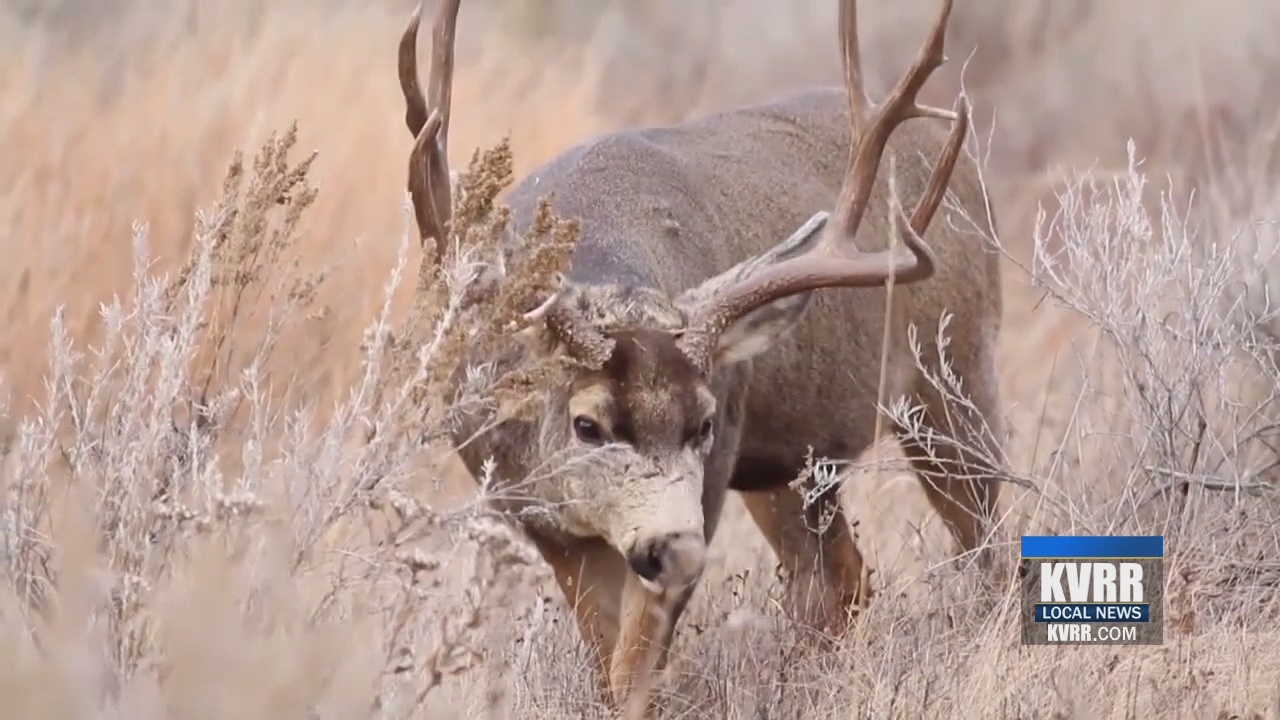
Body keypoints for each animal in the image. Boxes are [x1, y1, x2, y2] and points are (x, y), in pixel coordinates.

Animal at [398, 0, 1006, 709]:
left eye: (704, 422)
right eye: (587, 424)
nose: (679, 550)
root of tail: (970, 179)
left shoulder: (710, 482)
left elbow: (633, 674)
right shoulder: (535, 516)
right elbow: (605, 662)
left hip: (955, 374)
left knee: (989, 550)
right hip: (794, 464)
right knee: (837, 579)